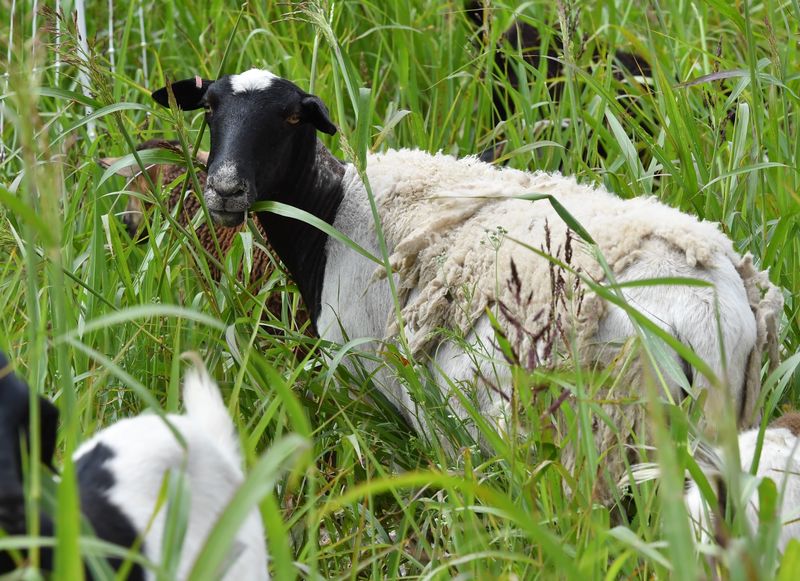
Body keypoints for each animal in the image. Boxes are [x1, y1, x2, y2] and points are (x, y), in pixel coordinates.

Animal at [150, 69, 782, 502]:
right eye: (210, 107)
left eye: (290, 118)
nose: (224, 189)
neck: (328, 213)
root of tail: (712, 307)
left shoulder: (373, 384)